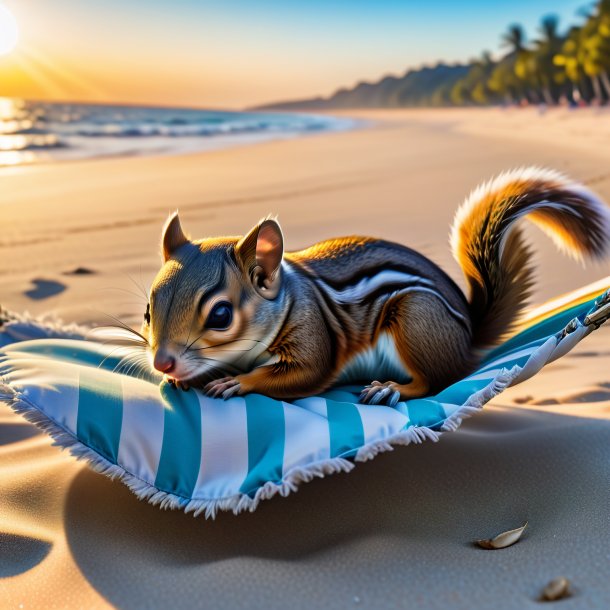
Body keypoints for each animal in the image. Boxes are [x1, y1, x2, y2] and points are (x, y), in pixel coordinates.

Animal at [142, 167, 608, 404]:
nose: (163, 363)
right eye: (148, 311)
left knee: (434, 382)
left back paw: (390, 388)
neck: (289, 296)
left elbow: (302, 374)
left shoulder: (315, 338)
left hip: (416, 318)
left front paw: (238, 382)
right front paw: (191, 378)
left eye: (221, 315)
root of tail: (468, 337)